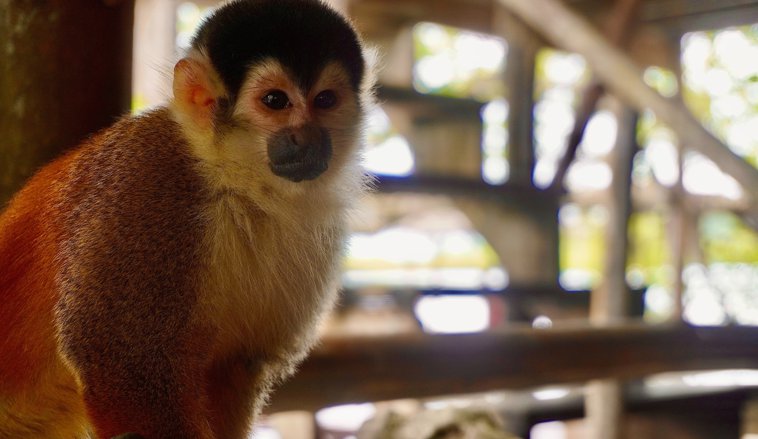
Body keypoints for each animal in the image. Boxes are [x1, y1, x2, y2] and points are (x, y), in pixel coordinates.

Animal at [0, 0, 370, 437]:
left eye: (325, 100)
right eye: (276, 101)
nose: (307, 137)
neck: (237, 185)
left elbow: (236, 367)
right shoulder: (146, 187)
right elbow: (125, 364)